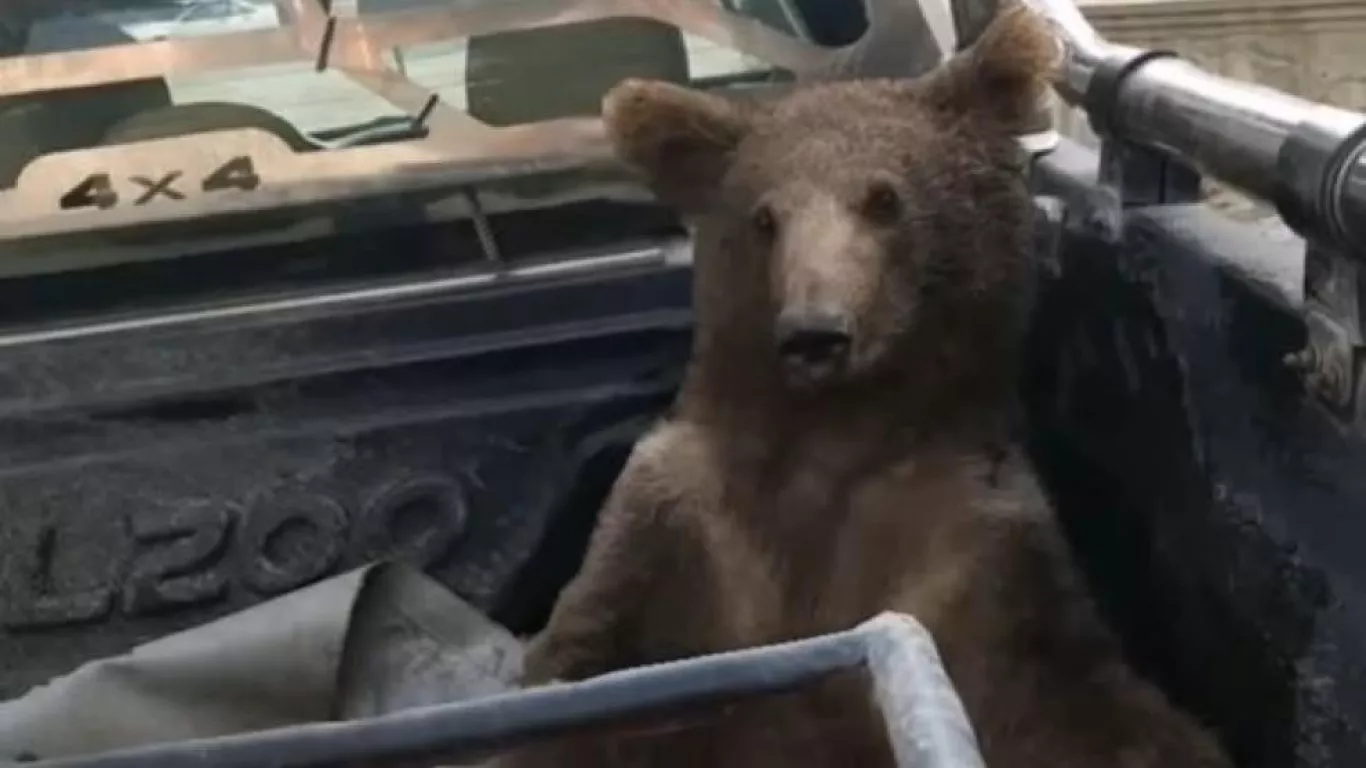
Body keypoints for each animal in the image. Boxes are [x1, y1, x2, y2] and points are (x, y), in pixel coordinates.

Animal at [500, 4, 1234, 768]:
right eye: (763, 217)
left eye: (884, 199)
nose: (816, 332)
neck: (837, 444)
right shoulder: (677, 537)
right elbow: (580, 671)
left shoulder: (981, 560)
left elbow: (1095, 710)